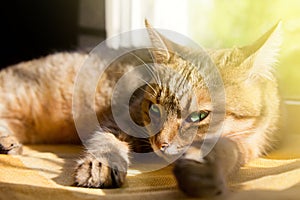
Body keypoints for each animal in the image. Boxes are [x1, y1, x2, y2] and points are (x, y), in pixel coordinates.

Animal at [0, 19, 282, 197]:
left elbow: (227, 149)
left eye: (199, 116)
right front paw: (100, 165)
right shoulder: (116, 121)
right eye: (154, 109)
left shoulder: (249, 143)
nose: (161, 144)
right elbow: (106, 142)